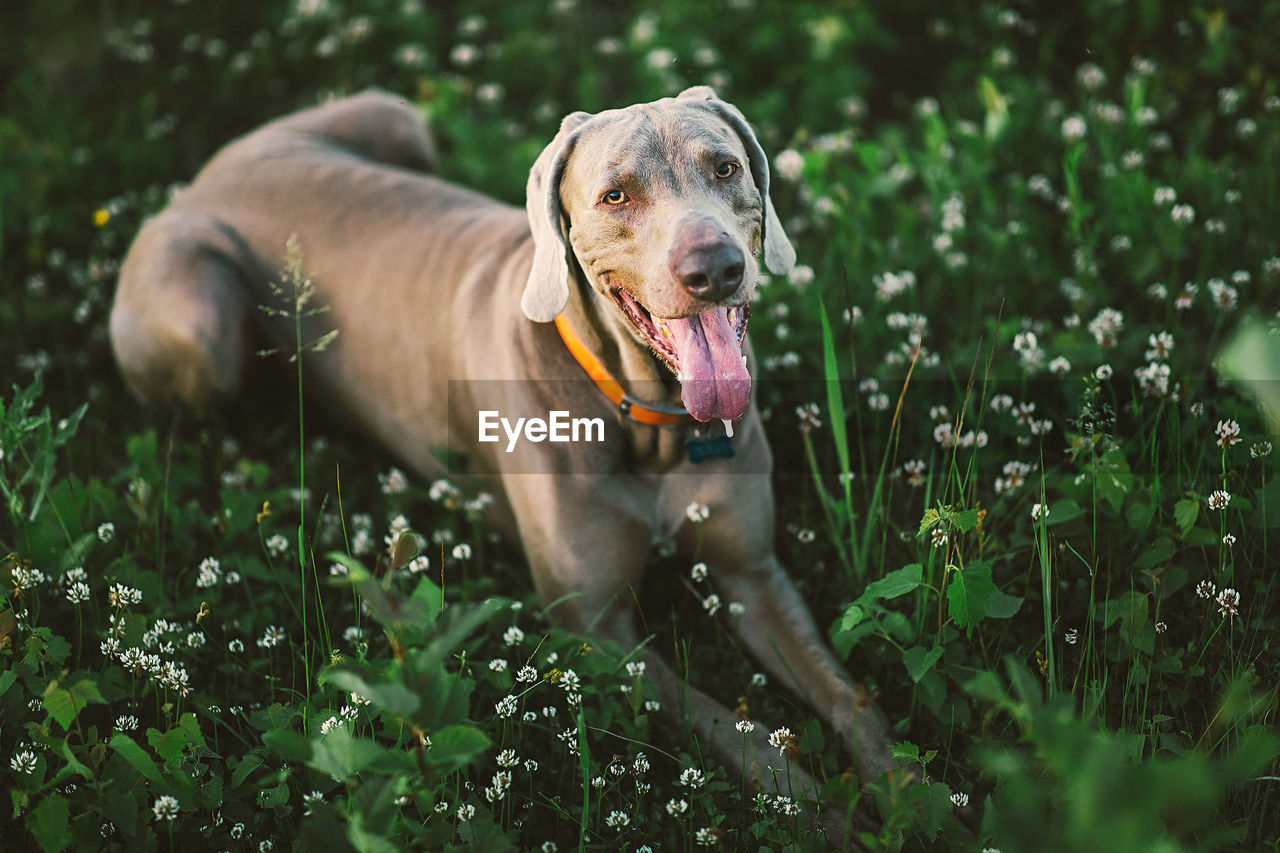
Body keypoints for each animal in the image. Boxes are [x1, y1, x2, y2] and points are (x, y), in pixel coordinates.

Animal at [112, 86, 911, 829]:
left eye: (726, 167)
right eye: (616, 195)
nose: (715, 268)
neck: (650, 420)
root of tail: (202, 177)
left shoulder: (754, 572)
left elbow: (855, 697)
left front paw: (911, 795)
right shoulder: (595, 631)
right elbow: (729, 726)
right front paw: (821, 811)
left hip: (392, 115)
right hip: (199, 320)